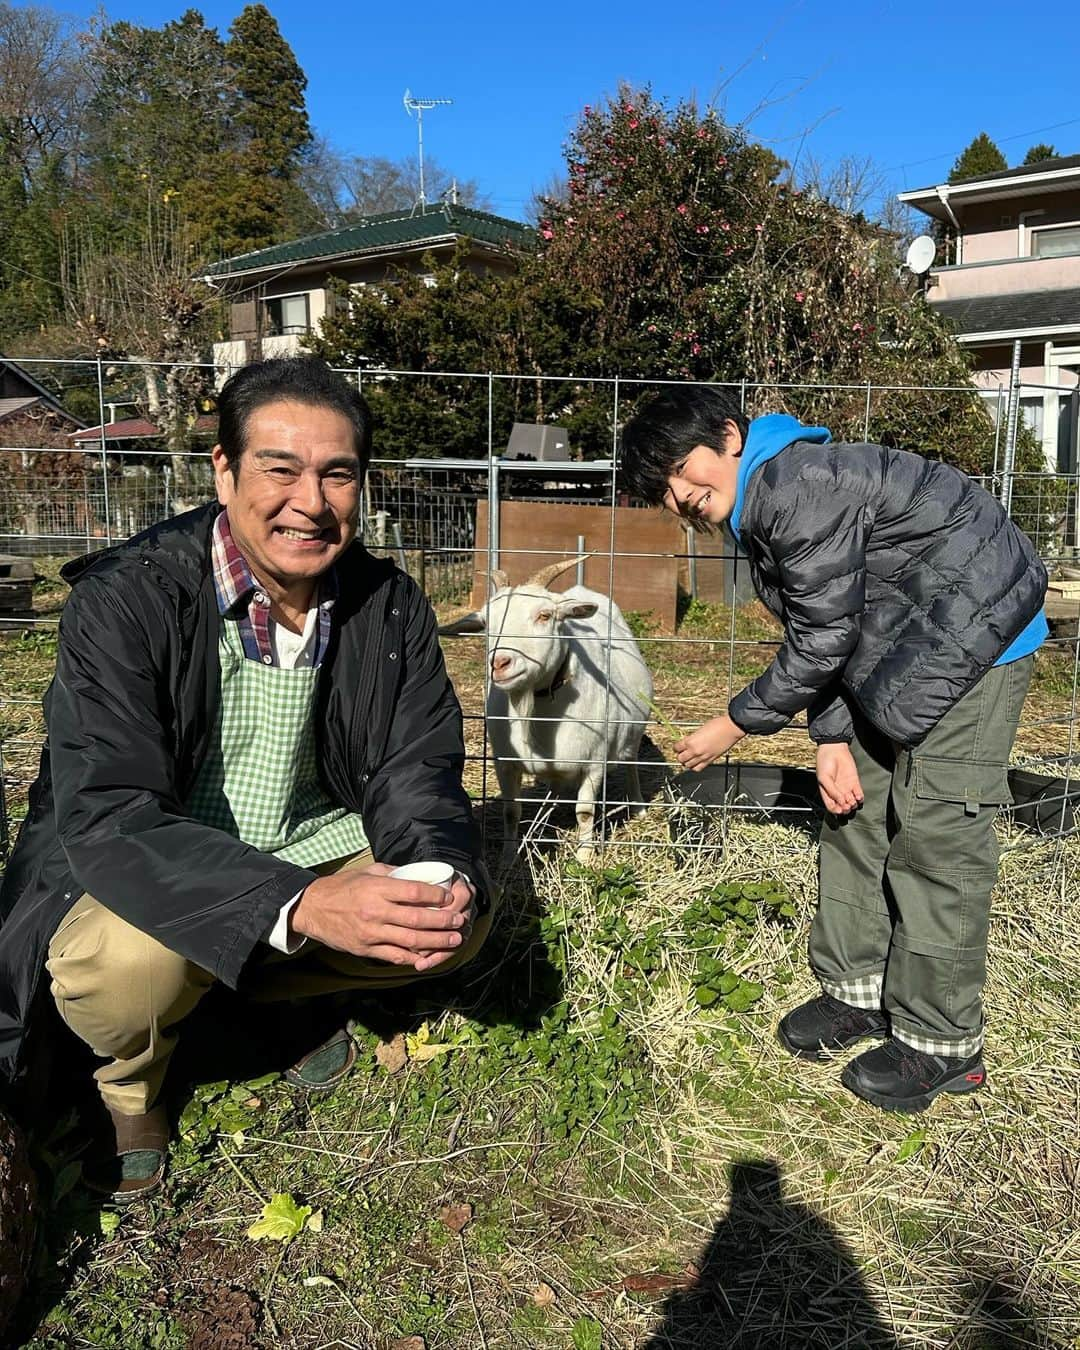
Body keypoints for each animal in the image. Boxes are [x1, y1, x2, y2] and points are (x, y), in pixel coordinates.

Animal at [437, 558, 650, 864]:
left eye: (545, 615)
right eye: (487, 623)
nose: (500, 663)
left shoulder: (594, 763)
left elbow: (585, 813)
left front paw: (584, 858)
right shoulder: (505, 763)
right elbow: (511, 811)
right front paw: (508, 857)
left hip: (631, 735)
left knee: (631, 763)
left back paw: (640, 808)